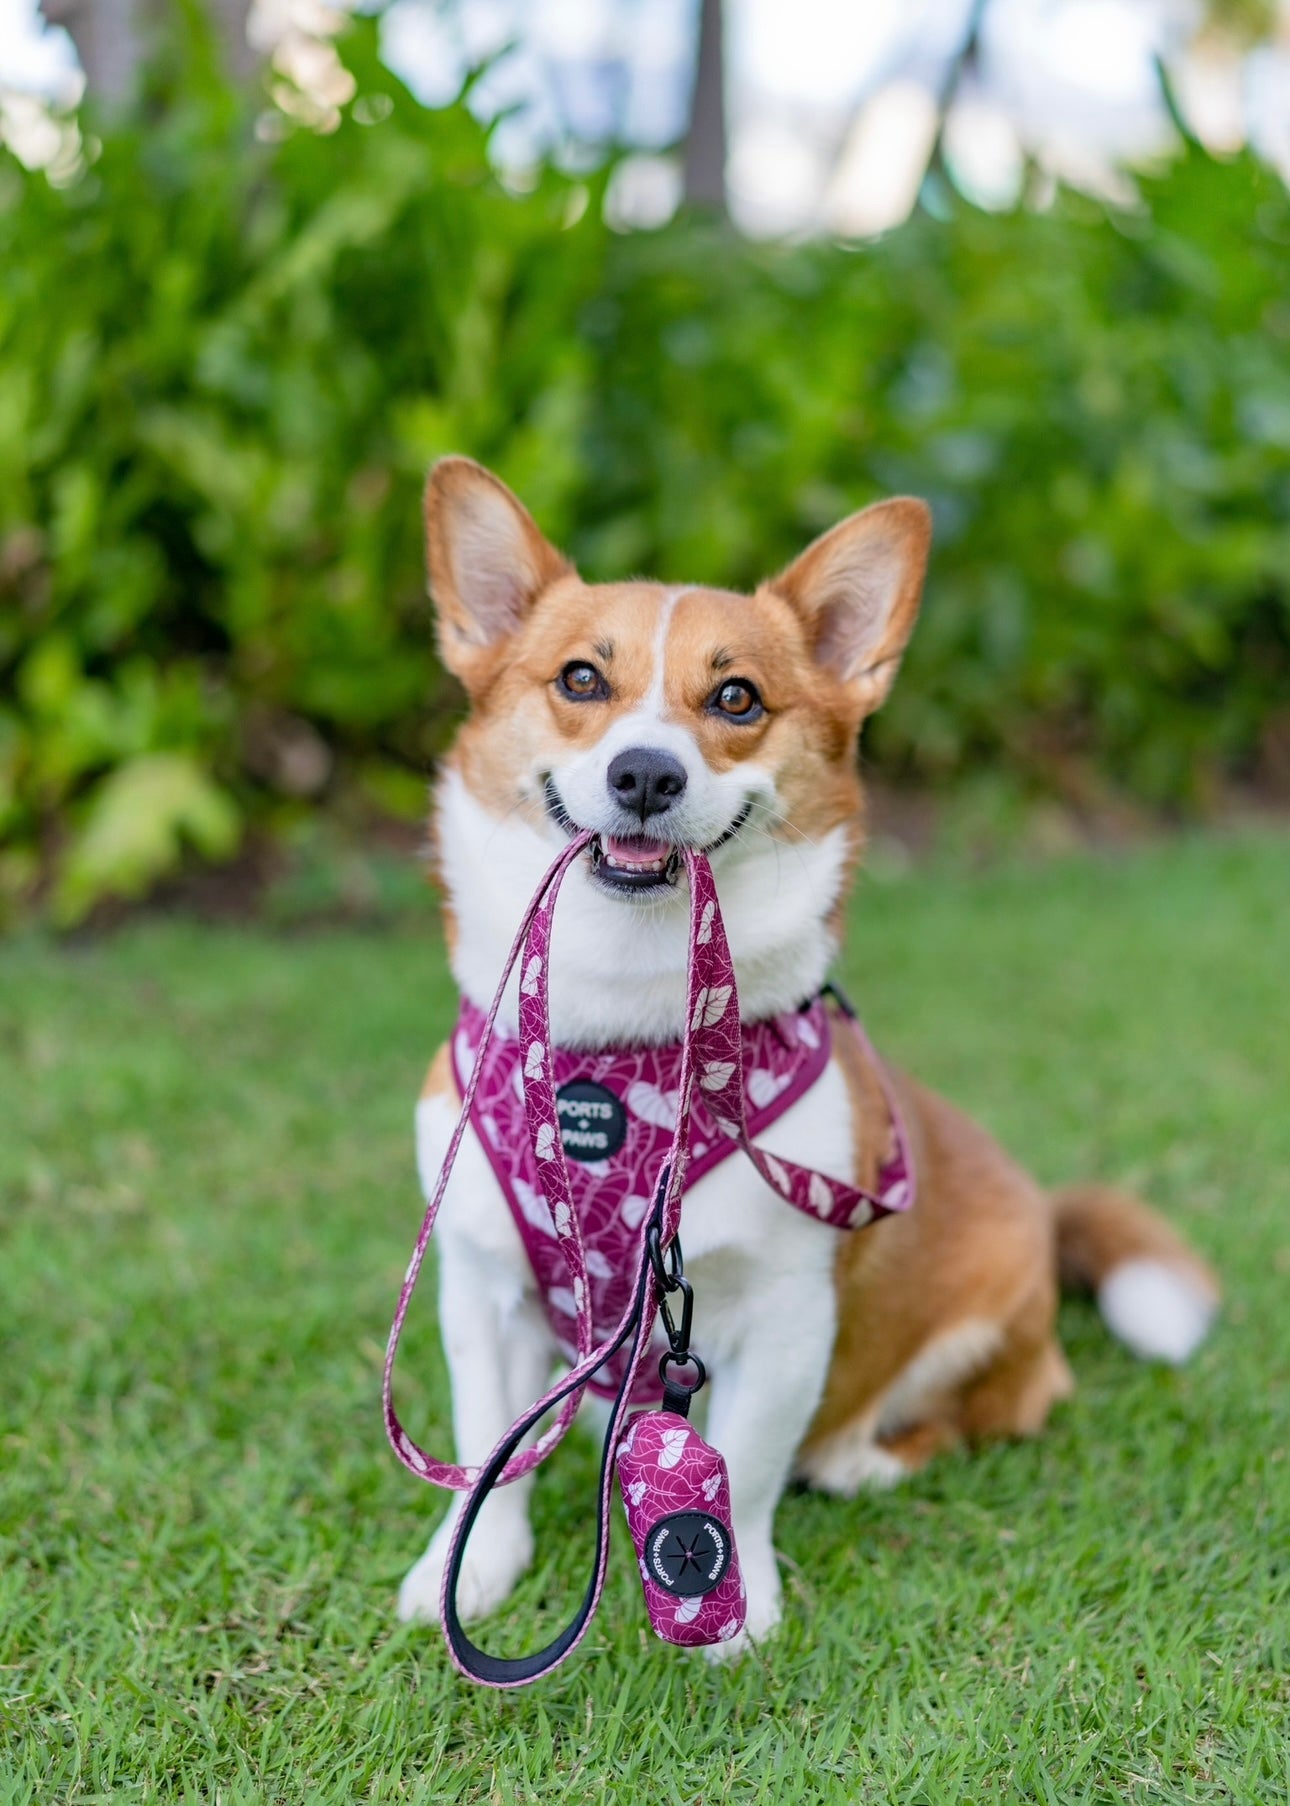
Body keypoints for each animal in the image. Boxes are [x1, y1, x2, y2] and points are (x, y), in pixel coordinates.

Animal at [399, 455, 1214, 1654]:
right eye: (580, 679)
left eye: (736, 698)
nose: (646, 775)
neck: (626, 1029)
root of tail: (1045, 1211)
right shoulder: (480, 1285)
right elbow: (488, 1453)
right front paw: (468, 1572)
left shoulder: (786, 1310)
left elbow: (744, 1462)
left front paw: (737, 1611)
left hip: (985, 1333)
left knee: (965, 1415)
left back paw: (863, 1457)